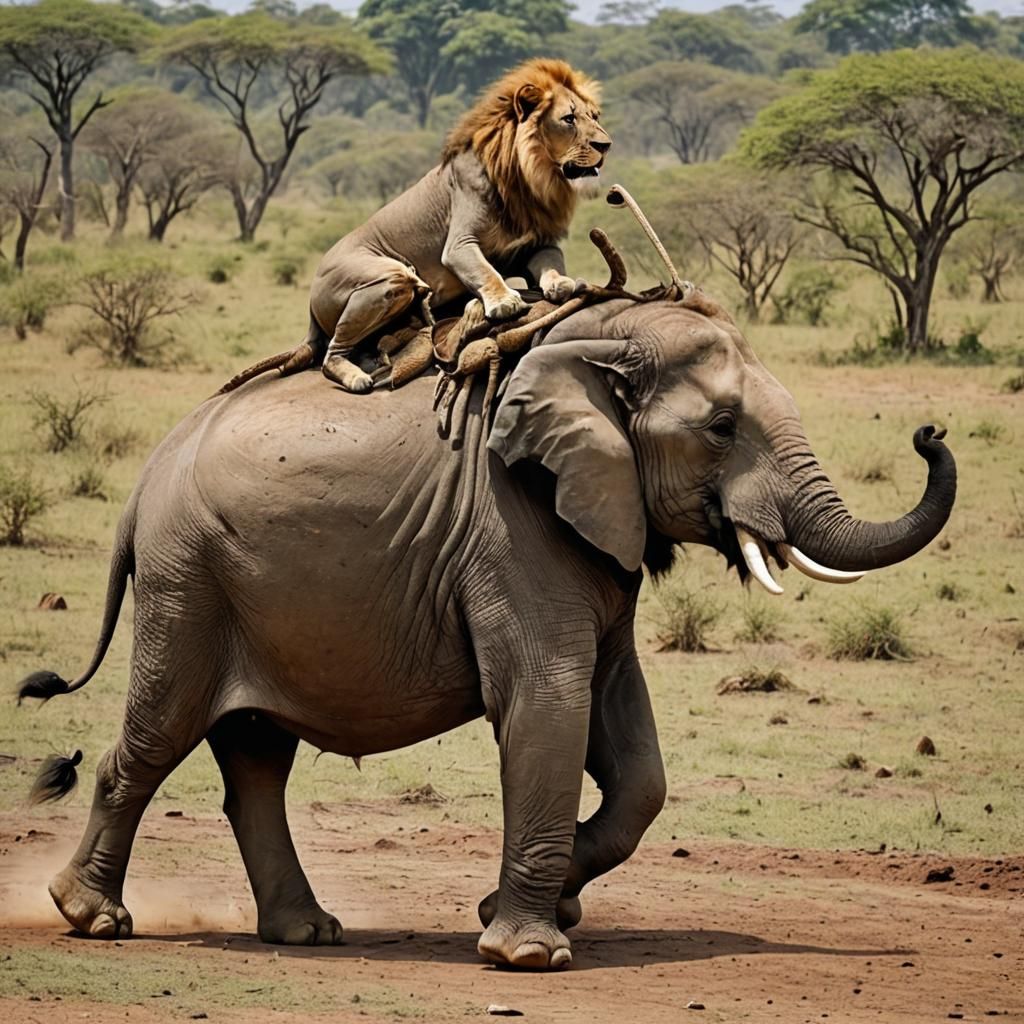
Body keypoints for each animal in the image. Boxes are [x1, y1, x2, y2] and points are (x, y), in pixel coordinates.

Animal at [18, 292, 956, 971]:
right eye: (723, 429)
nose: (929, 429)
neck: (595, 341)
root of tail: (146, 480)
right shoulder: (511, 528)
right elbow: (546, 703)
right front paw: (528, 954)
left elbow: (631, 748)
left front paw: (514, 909)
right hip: (188, 583)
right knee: (154, 740)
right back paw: (90, 918)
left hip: (239, 588)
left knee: (256, 760)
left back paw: (307, 932)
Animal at [278, 58, 610, 394]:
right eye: (568, 119)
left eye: (594, 116)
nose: (606, 145)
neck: (527, 178)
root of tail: (312, 295)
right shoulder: (459, 245)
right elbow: (485, 271)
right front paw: (504, 302)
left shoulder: (531, 245)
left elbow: (552, 262)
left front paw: (560, 283)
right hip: (388, 276)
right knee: (331, 353)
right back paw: (357, 377)